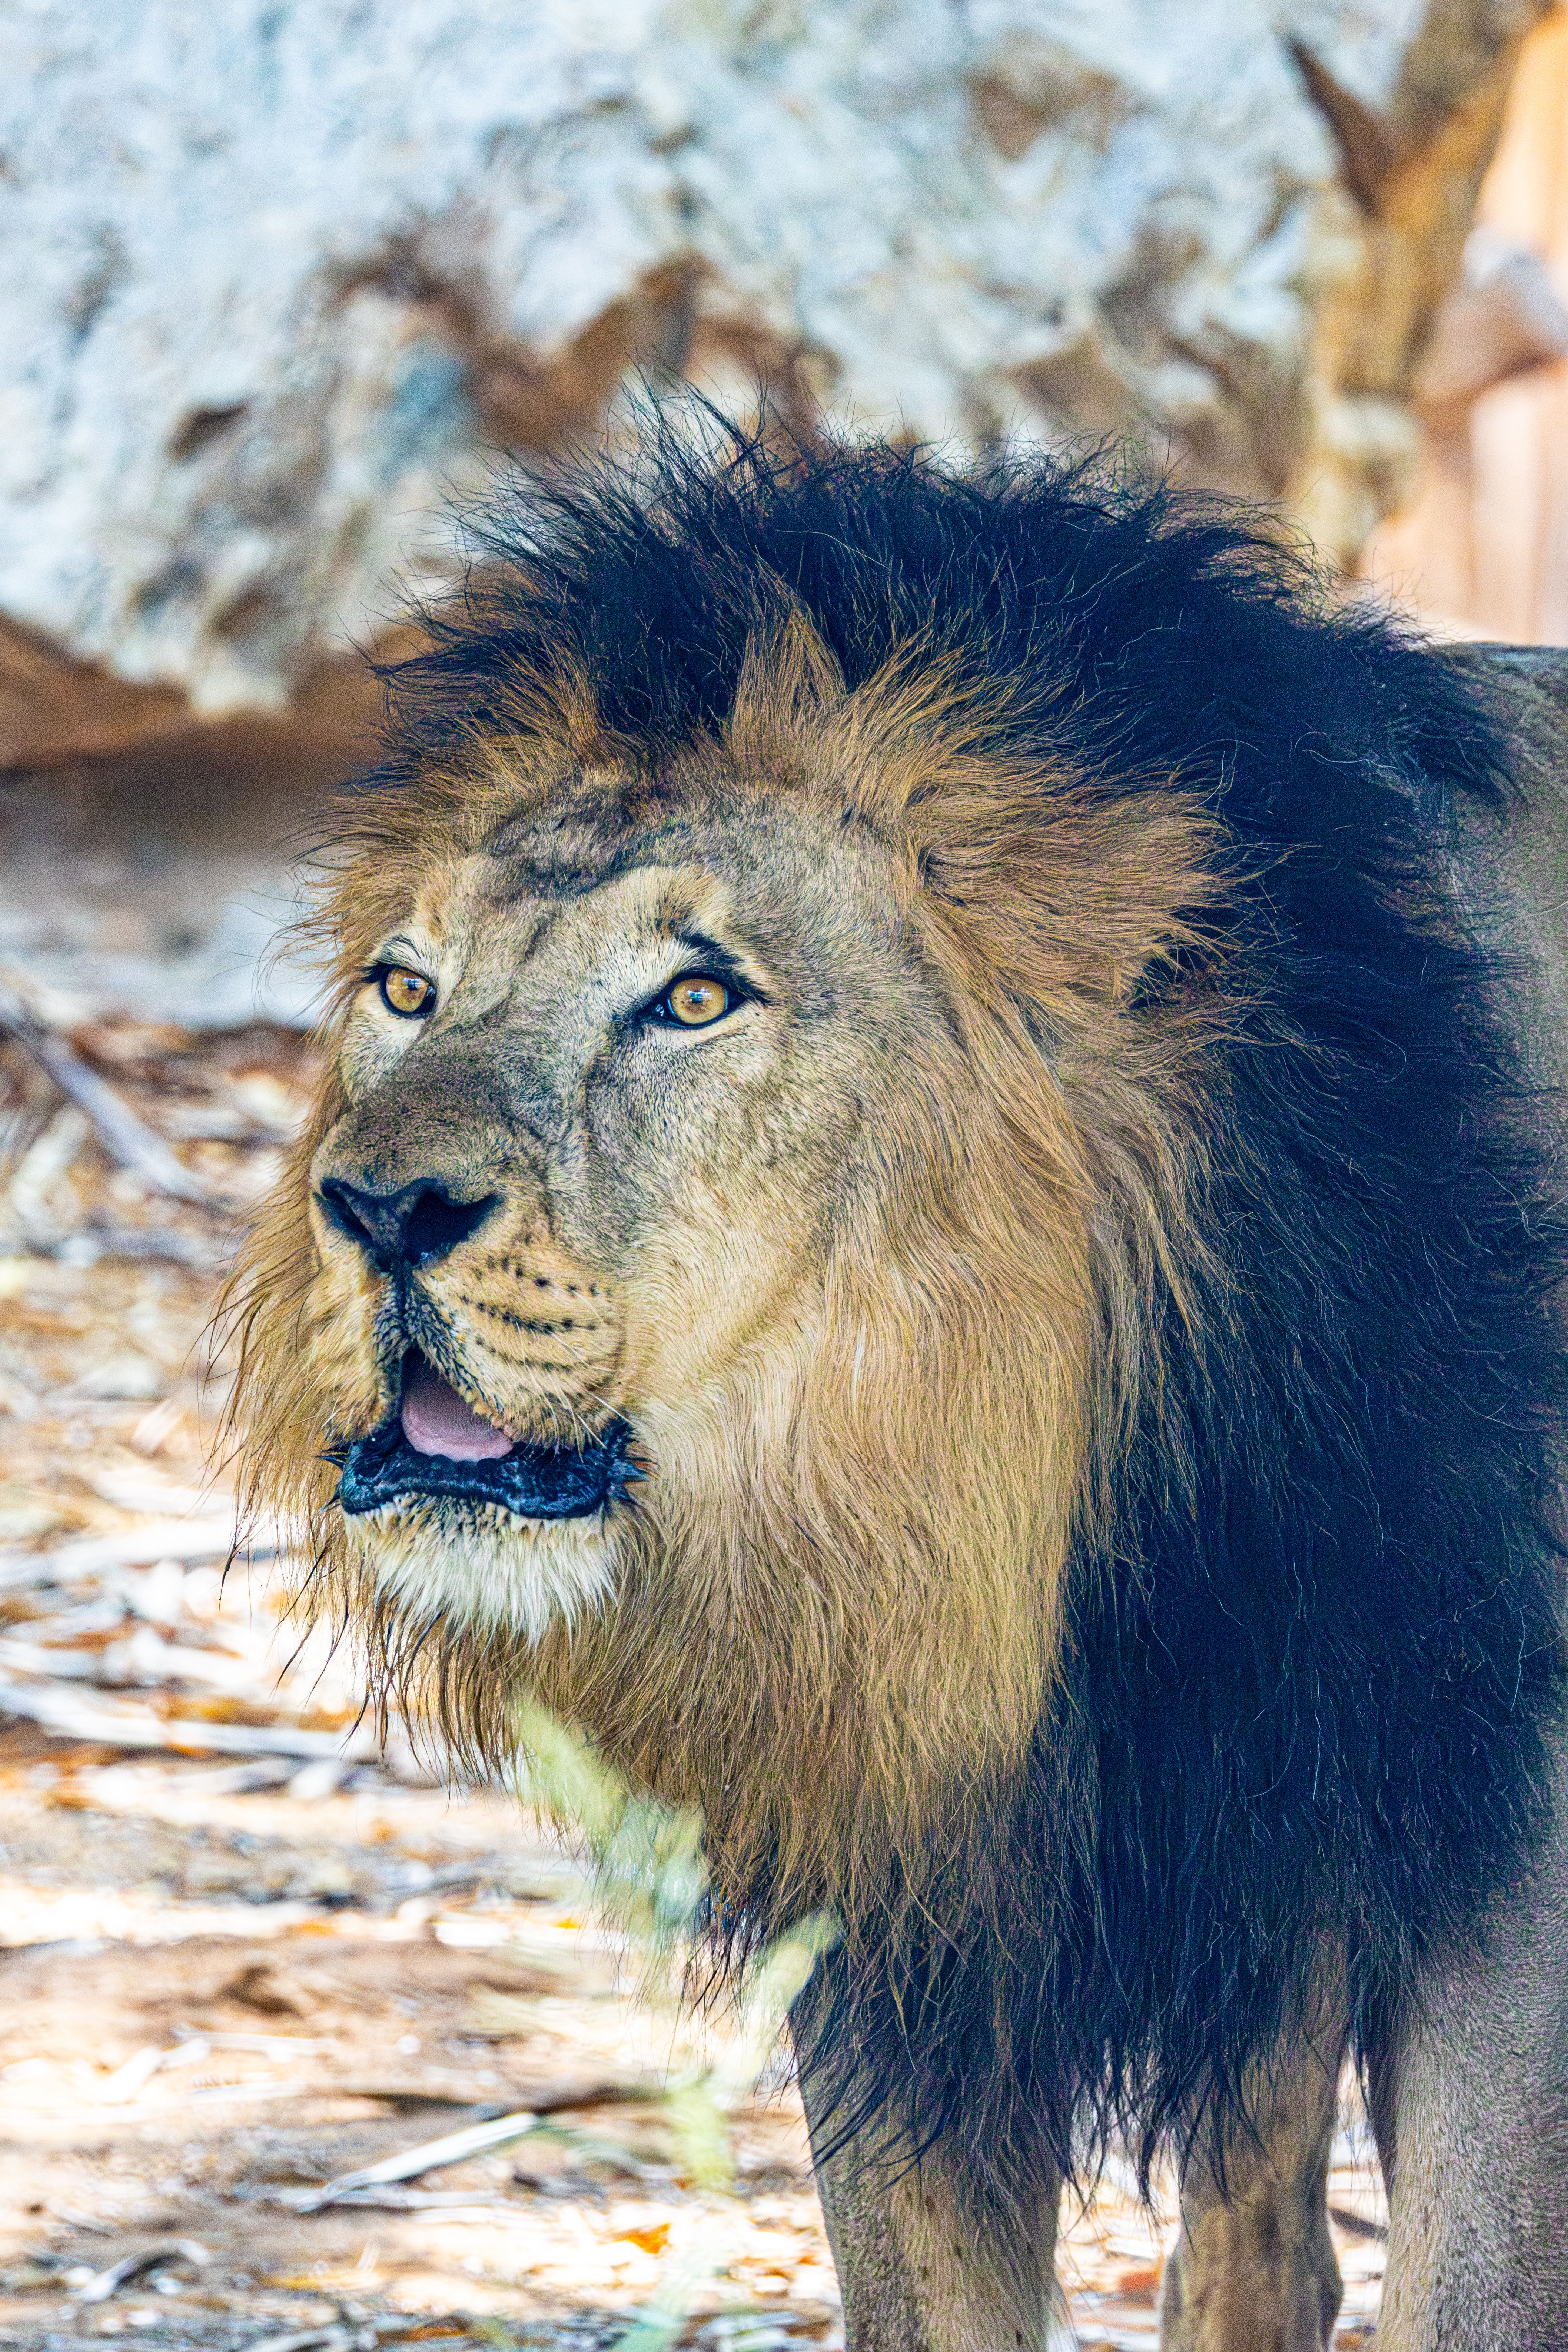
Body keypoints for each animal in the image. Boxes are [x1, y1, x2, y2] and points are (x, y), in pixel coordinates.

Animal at [228, 427, 1568, 2352]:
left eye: (696, 997)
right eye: (406, 987)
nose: (375, 1205)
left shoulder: (1508, 1884)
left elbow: (1475, 2291)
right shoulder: (894, 1883)